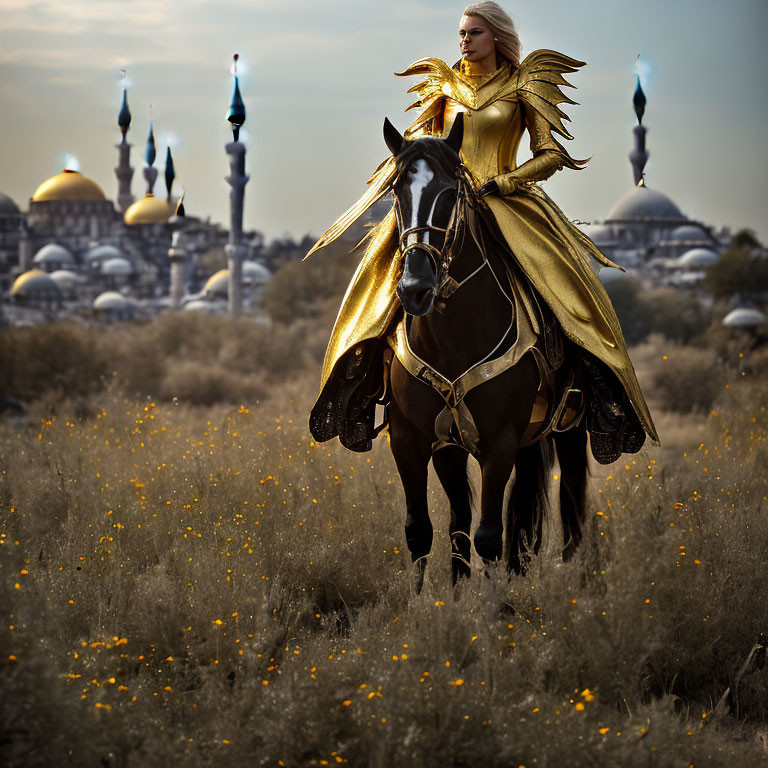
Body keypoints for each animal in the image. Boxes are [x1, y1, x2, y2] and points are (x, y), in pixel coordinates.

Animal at [382, 112, 588, 584]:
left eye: (449, 192)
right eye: (397, 192)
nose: (415, 289)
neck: (452, 338)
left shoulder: (499, 442)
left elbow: (489, 537)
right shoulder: (413, 439)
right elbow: (421, 531)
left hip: (569, 429)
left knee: (573, 510)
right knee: (475, 519)